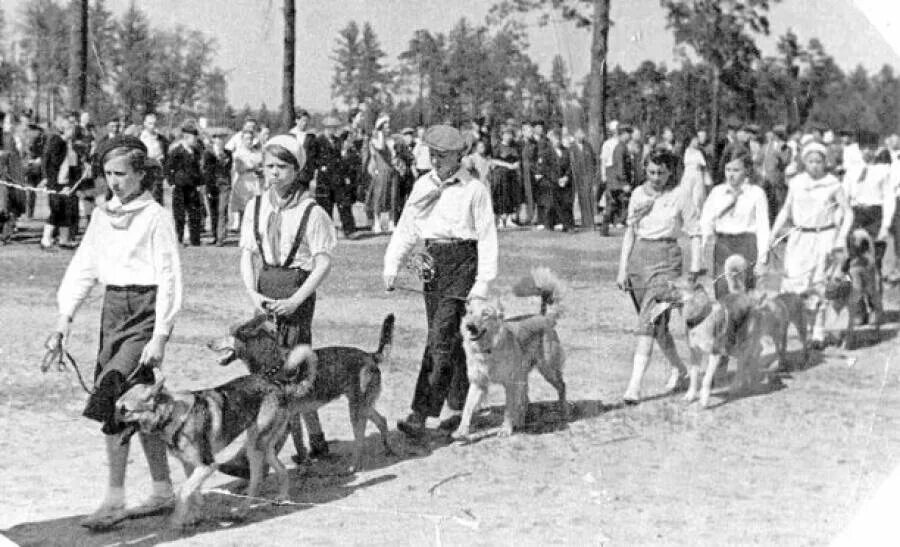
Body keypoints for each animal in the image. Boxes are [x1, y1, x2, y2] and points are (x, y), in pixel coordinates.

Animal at [114, 372, 298, 532]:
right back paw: (283, 496)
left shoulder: (208, 465)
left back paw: (242, 511)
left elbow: (184, 491)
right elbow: (193, 493)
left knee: (256, 480)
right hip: (265, 448)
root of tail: (277, 384)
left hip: (254, 448)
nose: (107, 428)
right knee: (281, 468)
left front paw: (178, 520)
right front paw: (194, 517)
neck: (173, 415)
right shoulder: (189, 465)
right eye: (116, 408)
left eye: (125, 410)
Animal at [211, 314, 398, 474]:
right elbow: (297, 443)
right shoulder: (291, 417)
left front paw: (303, 467)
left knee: (360, 441)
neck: (275, 365)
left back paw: (354, 466)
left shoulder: (290, 417)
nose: (208, 344)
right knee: (382, 420)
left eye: (230, 334)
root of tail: (370, 356)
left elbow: (297, 443)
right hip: (363, 406)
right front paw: (304, 466)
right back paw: (388, 449)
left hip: (356, 411)